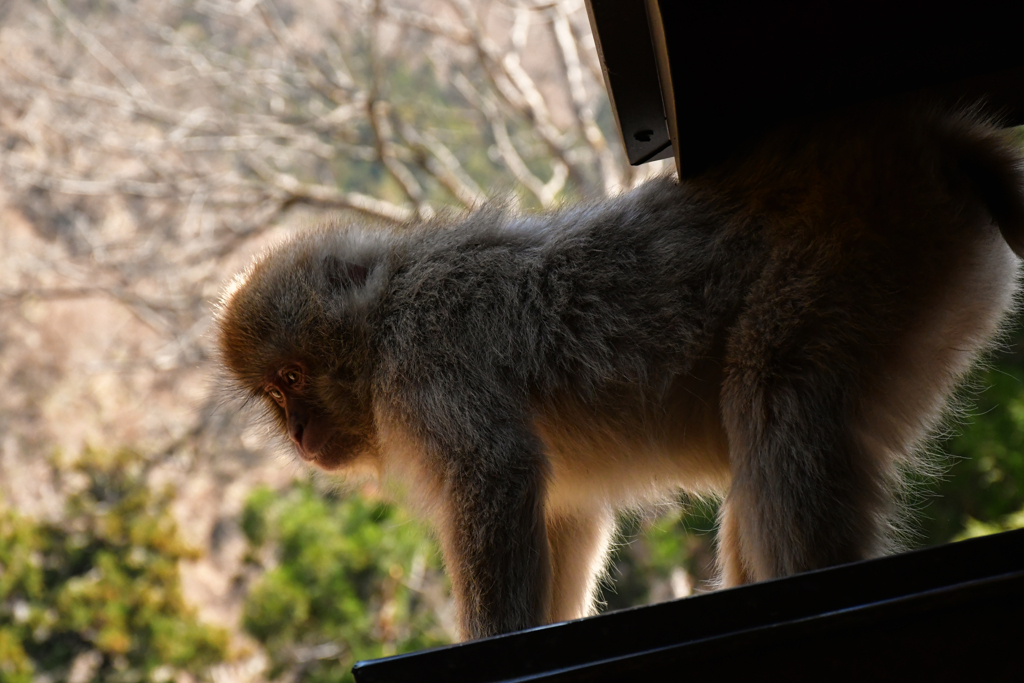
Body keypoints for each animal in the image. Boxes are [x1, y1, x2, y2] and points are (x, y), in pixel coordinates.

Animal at [214, 102, 1024, 643]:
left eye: (293, 378)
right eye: (274, 395)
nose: (297, 432)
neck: (382, 325)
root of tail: (934, 139)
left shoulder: (429, 363)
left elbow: (495, 473)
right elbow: (563, 513)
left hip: (861, 255)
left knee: (776, 398)